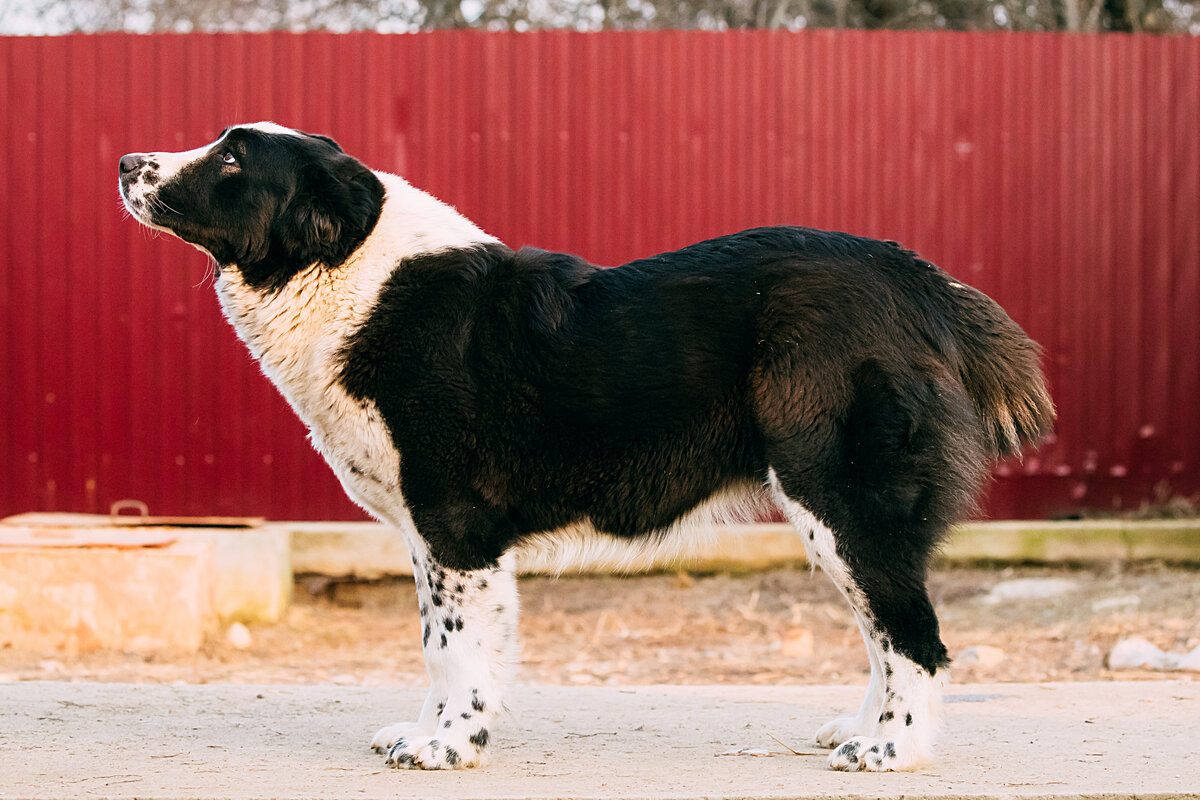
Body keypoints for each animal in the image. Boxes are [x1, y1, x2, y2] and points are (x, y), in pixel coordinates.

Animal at [119, 123, 1051, 767]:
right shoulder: (433, 540)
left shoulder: (453, 528)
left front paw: (449, 747)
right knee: (883, 632)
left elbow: (455, 649)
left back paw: (892, 750)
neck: (347, 276)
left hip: (843, 502)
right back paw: (859, 730)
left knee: (912, 636)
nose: (129, 162)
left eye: (232, 159)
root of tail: (918, 280)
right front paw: (429, 733)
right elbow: (441, 649)